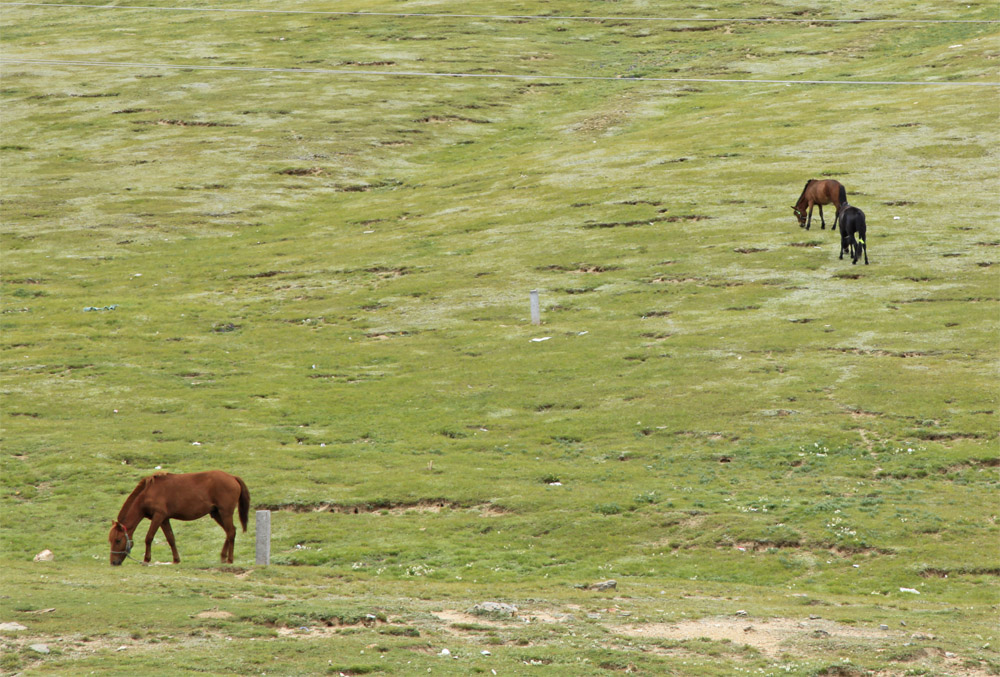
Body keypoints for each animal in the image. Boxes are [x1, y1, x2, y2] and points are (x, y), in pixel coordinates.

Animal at [108, 470, 250, 564]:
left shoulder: (158, 516)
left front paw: (146, 559)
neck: (148, 493)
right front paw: (176, 560)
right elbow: (171, 539)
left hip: (225, 513)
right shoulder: (164, 519)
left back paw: (230, 559)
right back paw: (223, 556)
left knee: (231, 532)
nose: (113, 562)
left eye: (118, 540)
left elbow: (149, 537)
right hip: (216, 514)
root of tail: (232, 477)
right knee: (230, 531)